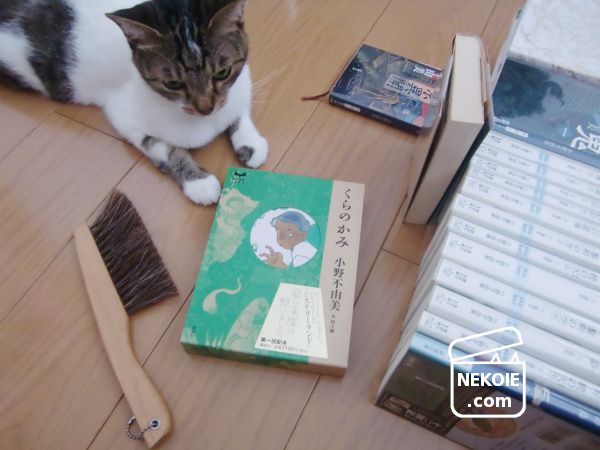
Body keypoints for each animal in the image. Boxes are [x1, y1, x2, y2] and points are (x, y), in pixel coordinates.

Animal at [0, 0, 268, 205]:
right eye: (173, 84)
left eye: (222, 73)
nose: (206, 108)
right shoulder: (124, 115)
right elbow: (163, 147)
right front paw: (198, 182)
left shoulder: (238, 87)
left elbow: (237, 107)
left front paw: (250, 141)